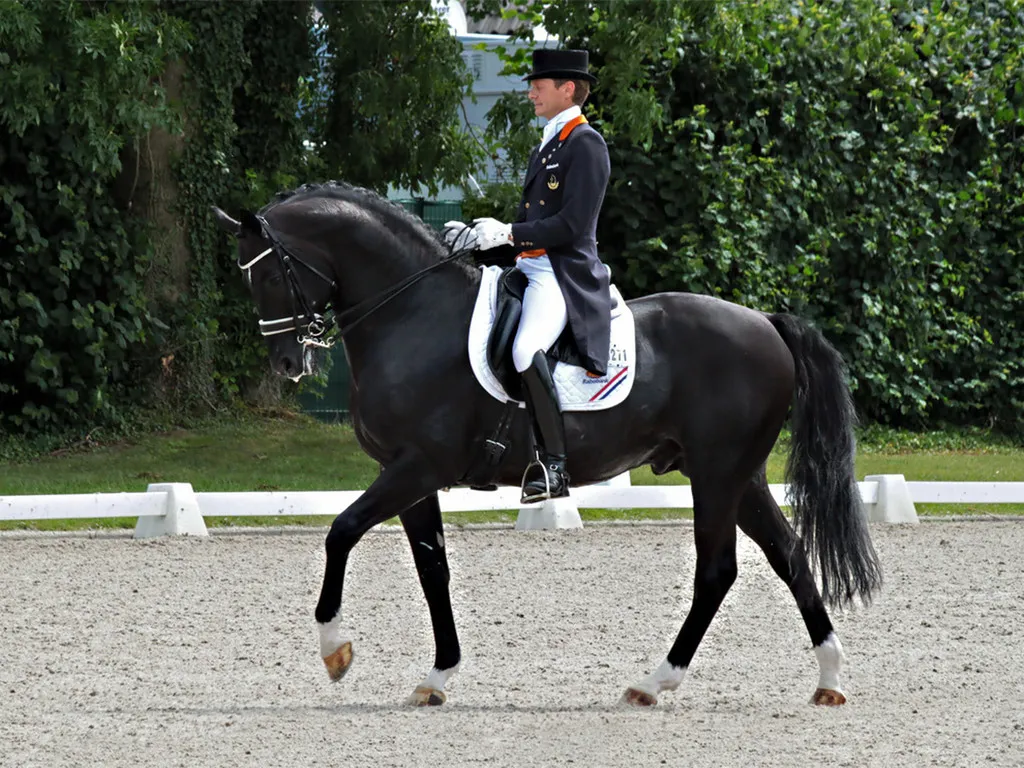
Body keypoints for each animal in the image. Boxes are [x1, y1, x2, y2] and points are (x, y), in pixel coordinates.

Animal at [211, 180, 882, 708]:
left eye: (268, 272)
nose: (287, 363)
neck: (412, 314)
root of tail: (765, 322)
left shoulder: (417, 467)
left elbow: (341, 531)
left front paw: (336, 650)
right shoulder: (409, 476)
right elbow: (433, 569)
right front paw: (437, 677)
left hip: (718, 474)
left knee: (717, 570)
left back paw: (654, 682)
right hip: (737, 475)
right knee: (789, 555)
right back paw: (828, 679)